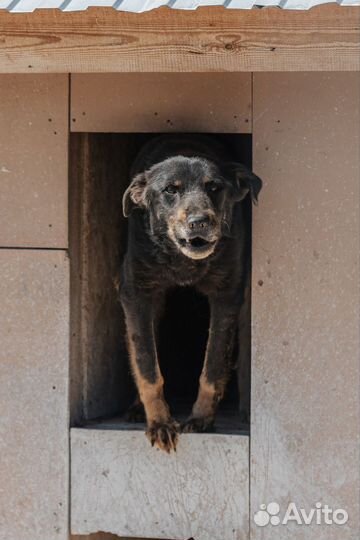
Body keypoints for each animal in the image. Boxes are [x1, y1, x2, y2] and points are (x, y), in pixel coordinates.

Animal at [119, 135, 262, 452]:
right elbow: (147, 365)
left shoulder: (227, 297)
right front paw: (159, 423)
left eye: (214, 187)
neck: (182, 260)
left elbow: (214, 364)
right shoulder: (136, 295)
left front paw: (201, 419)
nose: (199, 221)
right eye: (170, 190)